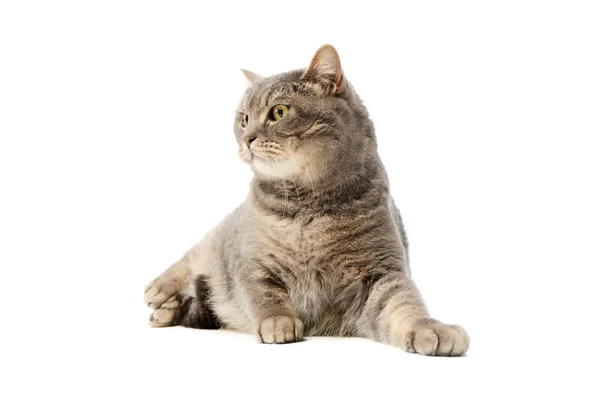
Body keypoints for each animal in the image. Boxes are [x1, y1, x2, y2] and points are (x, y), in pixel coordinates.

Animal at [144, 44, 468, 356]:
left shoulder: (380, 272)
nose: (247, 138)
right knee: (195, 254)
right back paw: (160, 292)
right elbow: (264, 295)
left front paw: (430, 329)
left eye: (278, 112)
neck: (306, 207)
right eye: (244, 119)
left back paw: (169, 310)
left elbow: (404, 305)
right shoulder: (253, 264)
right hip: (220, 237)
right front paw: (278, 323)